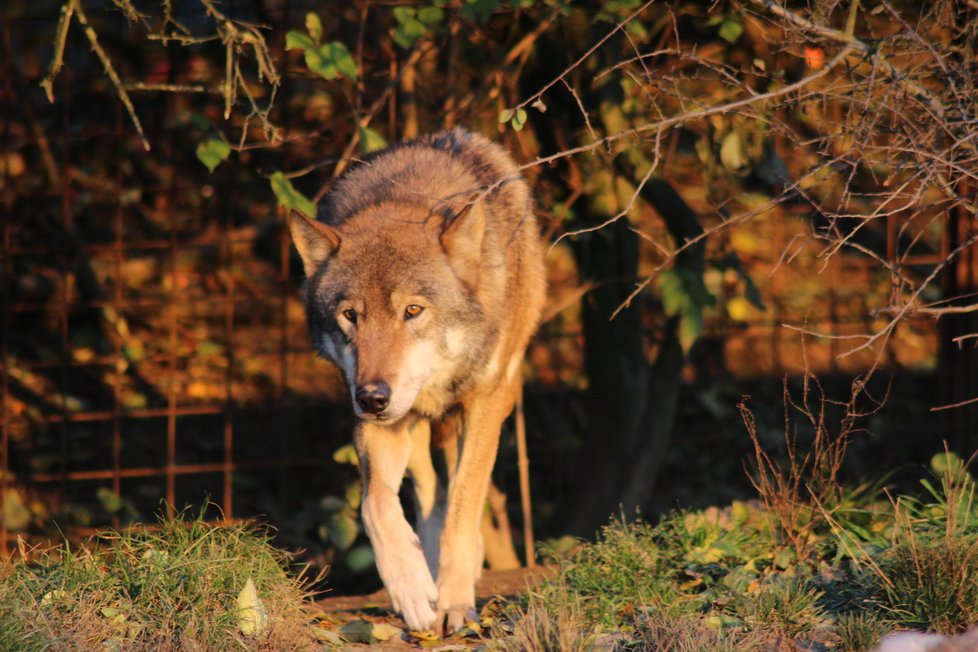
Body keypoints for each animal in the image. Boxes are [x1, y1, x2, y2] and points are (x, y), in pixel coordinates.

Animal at [290, 126, 544, 632]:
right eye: (351, 316)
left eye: (412, 310)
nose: (372, 398)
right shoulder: (379, 422)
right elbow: (376, 505)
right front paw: (411, 589)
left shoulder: (487, 403)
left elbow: (464, 506)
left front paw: (454, 602)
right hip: (413, 424)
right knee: (427, 490)